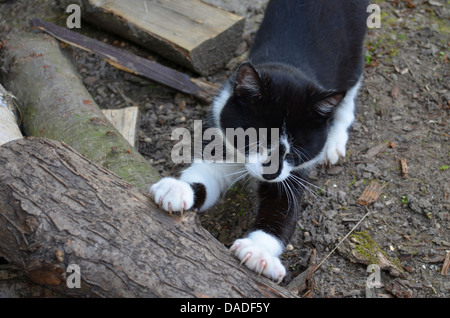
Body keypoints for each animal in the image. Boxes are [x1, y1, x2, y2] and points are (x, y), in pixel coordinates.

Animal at [149, 0, 368, 284]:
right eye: (255, 139)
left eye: (295, 151)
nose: (270, 172)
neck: (288, 65)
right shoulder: (221, 139)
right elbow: (207, 175)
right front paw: (177, 189)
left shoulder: (292, 174)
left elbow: (282, 209)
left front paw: (258, 252)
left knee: (350, 90)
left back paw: (335, 140)